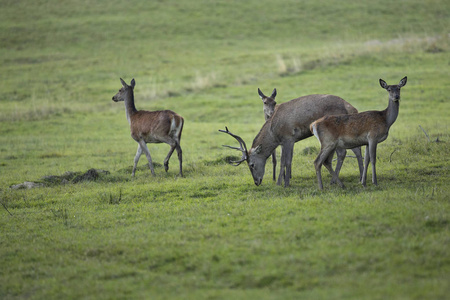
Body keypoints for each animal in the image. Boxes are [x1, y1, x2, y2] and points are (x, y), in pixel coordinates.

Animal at [220, 94, 364, 188]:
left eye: (251, 164)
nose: (257, 182)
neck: (273, 131)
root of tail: (351, 107)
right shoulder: (288, 141)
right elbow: (284, 161)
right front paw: (281, 182)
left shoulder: (288, 137)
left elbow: (286, 161)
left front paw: (284, 184)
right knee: (355, 150)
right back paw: (356, 178)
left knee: (345, 152)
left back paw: (341, 180)